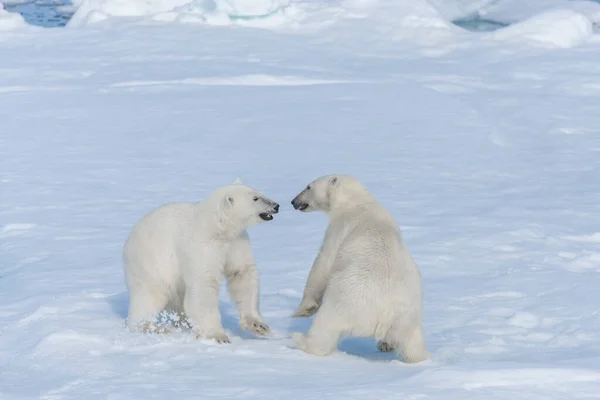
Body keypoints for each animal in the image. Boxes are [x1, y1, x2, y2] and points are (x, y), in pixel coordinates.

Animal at [123, 179, 282, 344]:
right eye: (255, 198)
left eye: (259, 192)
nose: (276, 205)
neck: (218, 227)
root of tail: (128, 242)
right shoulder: (202, 246)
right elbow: (204, 283)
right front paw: (217, 335)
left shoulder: (236, 241)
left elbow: (241, 272)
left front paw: (259, 325)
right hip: (152, 261)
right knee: (150, 294)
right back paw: (151, 326)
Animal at [290, 175, 426, 362]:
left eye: (308, 187)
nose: (293, 201)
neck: (356, 201)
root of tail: (385, 315)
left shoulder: (338, 229)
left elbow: (322, 265)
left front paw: (302, 310)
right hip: (408, 318)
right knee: (413, 345)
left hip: (347, 301)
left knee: (326, 326)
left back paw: (300, 339)